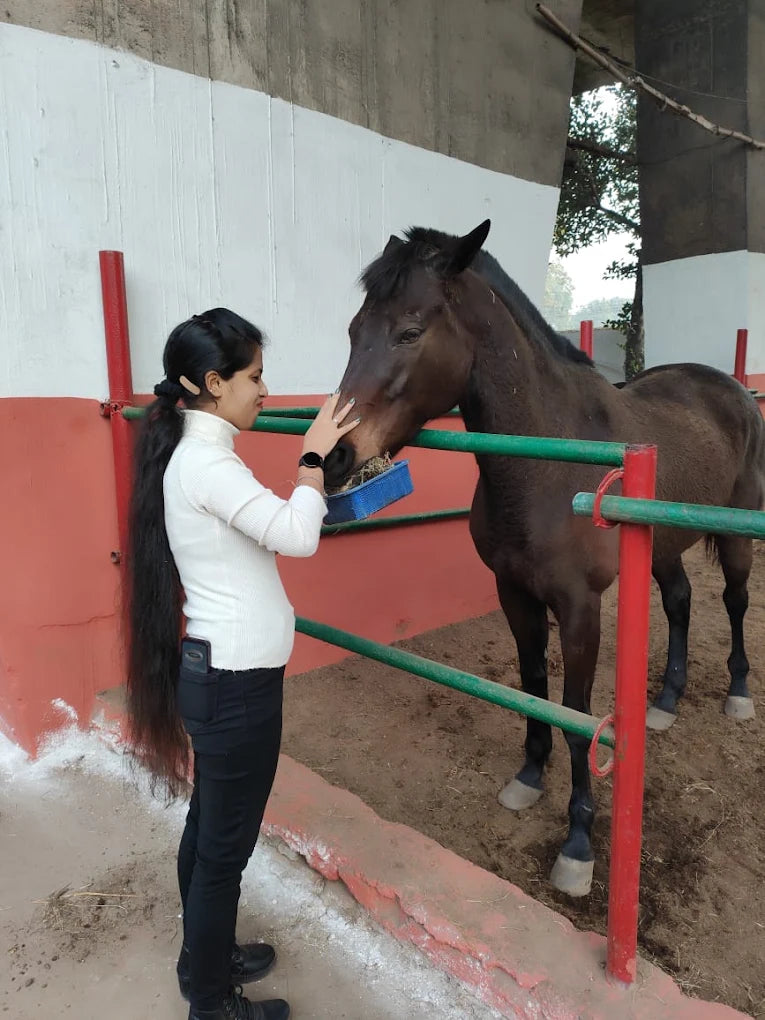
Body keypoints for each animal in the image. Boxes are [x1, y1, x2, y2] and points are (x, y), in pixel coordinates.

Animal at [323, 220, 765, 896]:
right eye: (353, 330)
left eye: (410, 331)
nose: (332, 456)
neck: (547, 465)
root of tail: (730, 386)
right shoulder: (514, 592)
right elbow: (533, 683)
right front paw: (530, 775)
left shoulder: (580, 607)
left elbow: (576, 711)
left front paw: (579, 843)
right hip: (662, 546)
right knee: (680, 602)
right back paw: (665, 702)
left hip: (738, 536)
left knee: (735, 601)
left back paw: (737, 694)